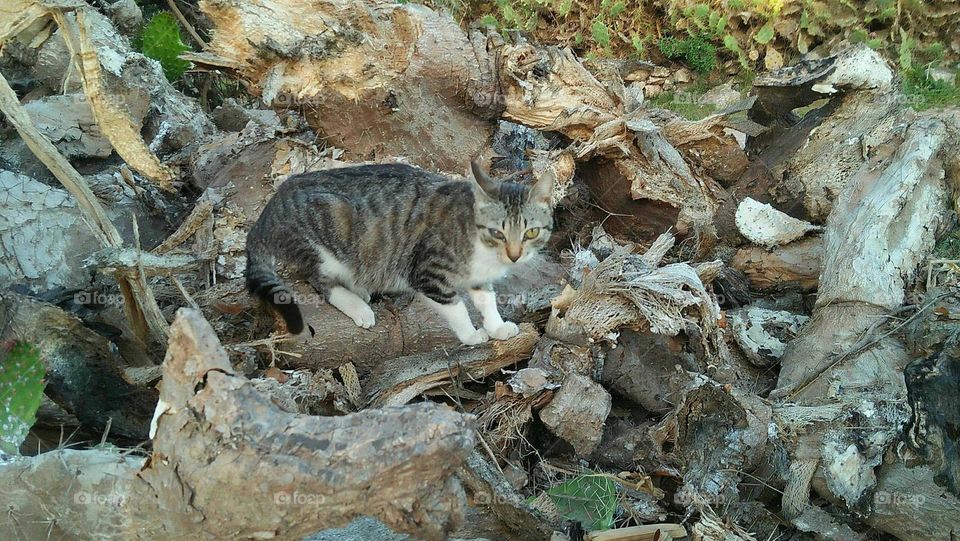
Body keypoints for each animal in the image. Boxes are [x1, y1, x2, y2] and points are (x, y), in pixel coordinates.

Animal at [246, 160, 556, 344]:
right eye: (497, 233)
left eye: (531, 232)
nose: (514, 256)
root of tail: (269, 210)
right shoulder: (427, 273)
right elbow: (455, 306)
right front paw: (471, 335)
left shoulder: (480, 277)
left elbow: (486, 300)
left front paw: (497, 327)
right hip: (324, 242)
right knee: (320, 282)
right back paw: (358, 306)